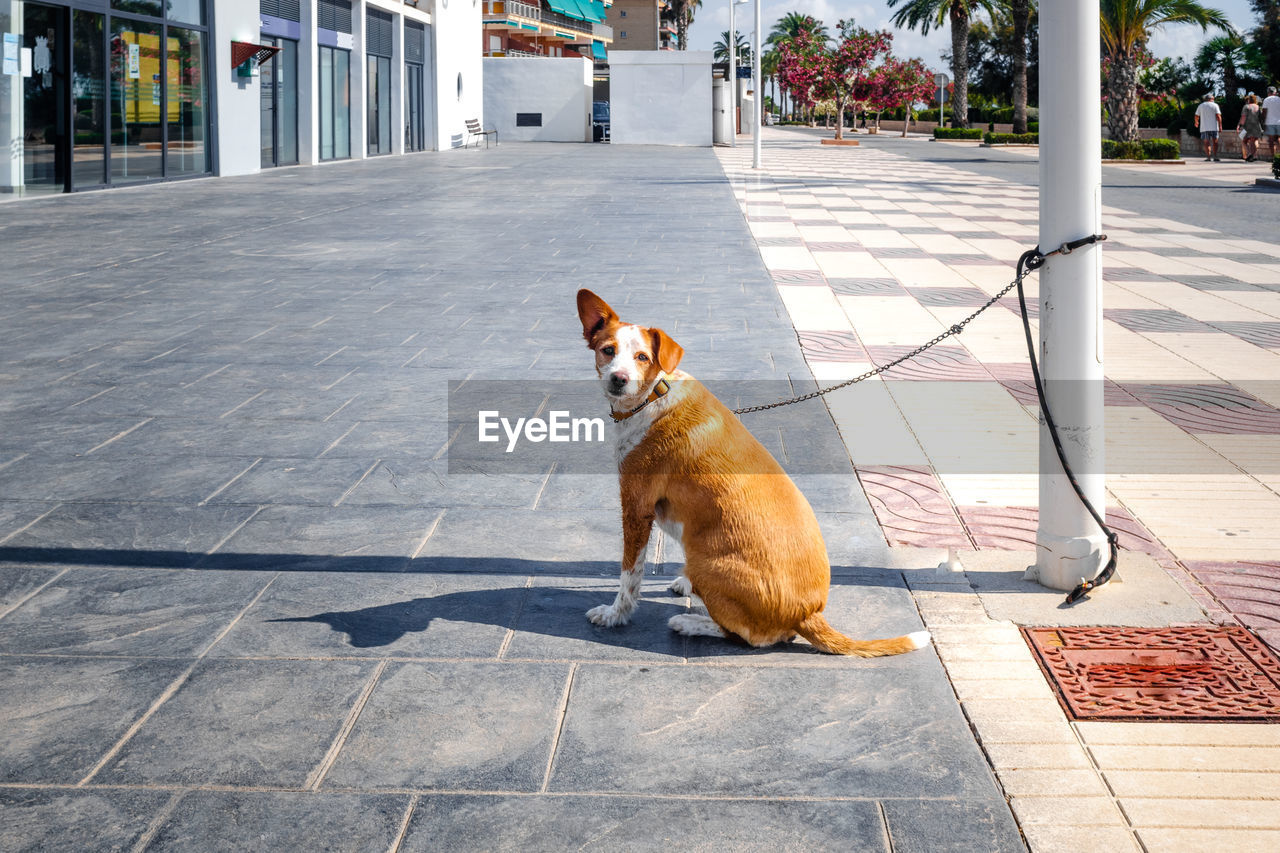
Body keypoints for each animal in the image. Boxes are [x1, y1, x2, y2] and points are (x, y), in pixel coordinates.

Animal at [581, 289, 931, 653]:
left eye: (642, 357)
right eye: (608, 350)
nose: (619, 379)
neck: (653, 396)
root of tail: (808, 612)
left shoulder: (637, 509)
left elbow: (629, 576)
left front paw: (615, 615)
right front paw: (682, 585)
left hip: (705, 560)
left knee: (749, 636)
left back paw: (689, 622)